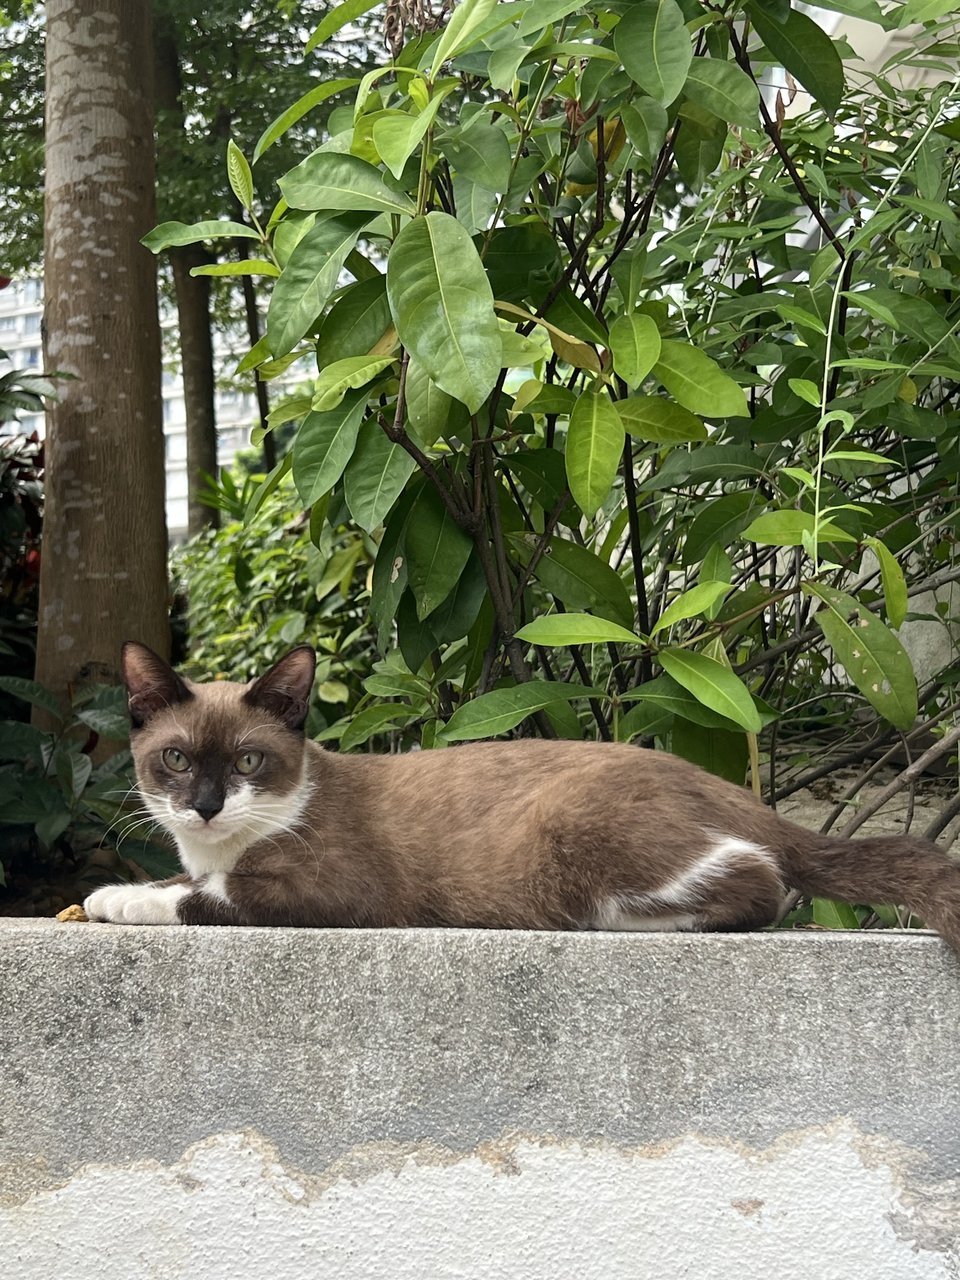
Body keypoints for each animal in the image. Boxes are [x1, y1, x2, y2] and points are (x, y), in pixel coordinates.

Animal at [80, 640, 960, 952]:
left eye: (251, 760)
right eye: (175, 760)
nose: (206, 805)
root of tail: (713, 782)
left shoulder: (339, 888)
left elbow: (208, 894)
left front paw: (120, 899)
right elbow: (185, 876)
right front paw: (111, 890)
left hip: (572, 825)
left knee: (760, 882)